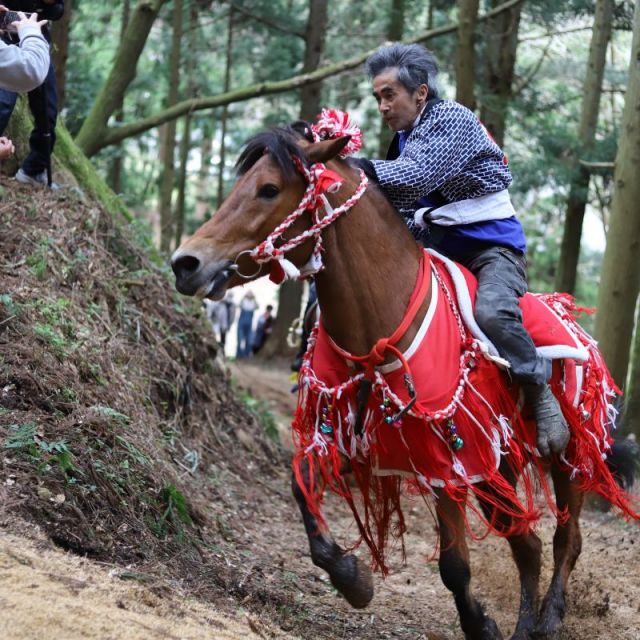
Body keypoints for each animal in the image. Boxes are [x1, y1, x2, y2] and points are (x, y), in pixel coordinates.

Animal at [171, 123, 638, 640]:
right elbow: (301, 486)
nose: (185, 263)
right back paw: (524, 623)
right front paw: (353, 579)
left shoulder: (446, 458)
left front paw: (480, 625)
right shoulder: (351, 440)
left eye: (269, 189)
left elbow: (455, 565)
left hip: (570, 454)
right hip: (498, 465)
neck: (378, 326)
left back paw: (549, 617)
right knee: (526, 543)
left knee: (564, 539)